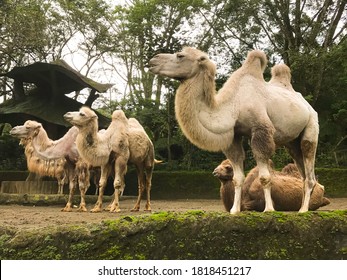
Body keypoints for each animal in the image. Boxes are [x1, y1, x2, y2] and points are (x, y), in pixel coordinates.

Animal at [148, 48, 320, 214]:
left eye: (180, 55)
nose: (153, 60)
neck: (234, 106)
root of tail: (308, 106)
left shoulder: (261, 131)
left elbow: (264, 177)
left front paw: (269, 209)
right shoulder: (234, 135)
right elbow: (237, 178)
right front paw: (234, 210)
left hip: (311, 127)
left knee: (309, 166)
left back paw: (303, 210)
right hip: (292, 143)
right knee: (302, 170)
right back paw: (302, 206)